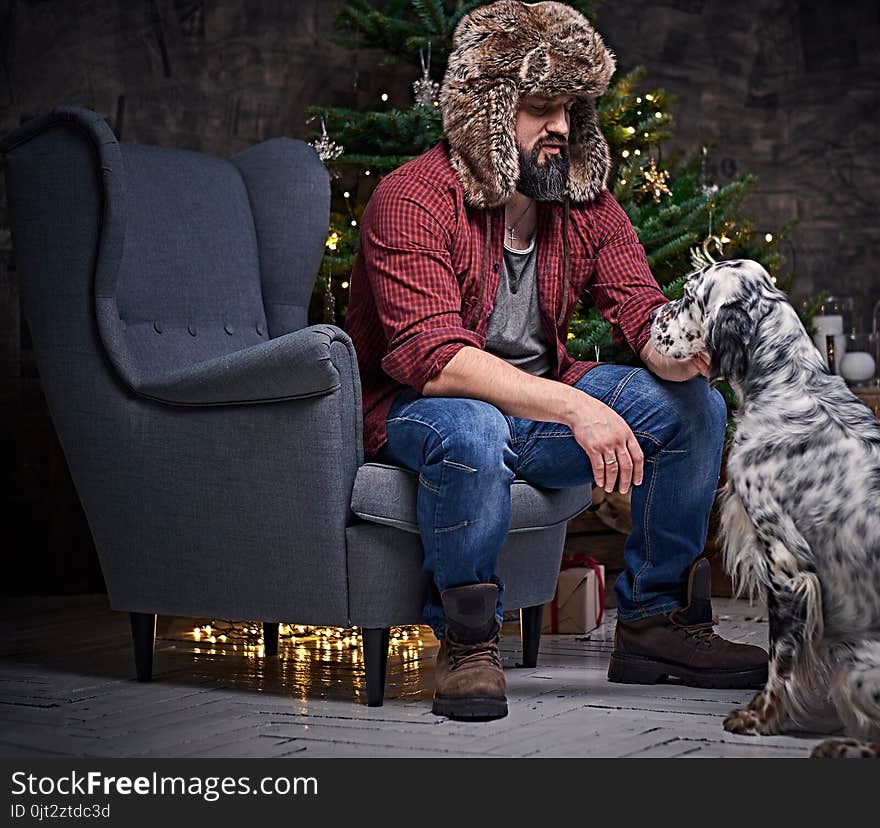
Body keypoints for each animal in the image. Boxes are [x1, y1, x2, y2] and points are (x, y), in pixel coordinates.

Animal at [648, 258, 876, 756]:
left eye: (689, 295)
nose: (653, 317)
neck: (788, 386)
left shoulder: (786, 565)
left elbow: (780, 658)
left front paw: (760, 718)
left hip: (859, 662)